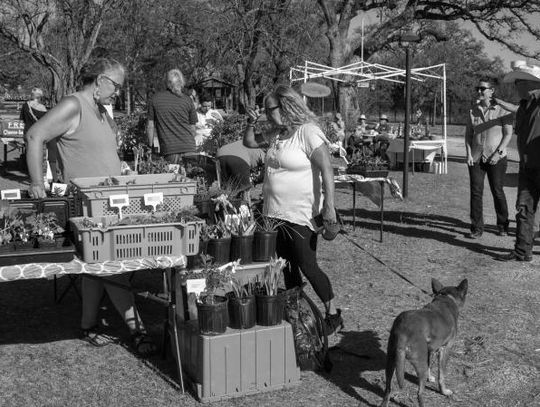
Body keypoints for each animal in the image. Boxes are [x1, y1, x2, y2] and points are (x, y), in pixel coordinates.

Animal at [380, 278, 468, 407]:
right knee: (419, 394)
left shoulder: (429, 350)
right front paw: (444, 391)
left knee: (388, 390)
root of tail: (403, 332)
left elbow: (430, 364)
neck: (446, 298)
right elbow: (441, 375)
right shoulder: (445, 349)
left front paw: (430, 377)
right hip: (419, 366)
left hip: (391, 363)